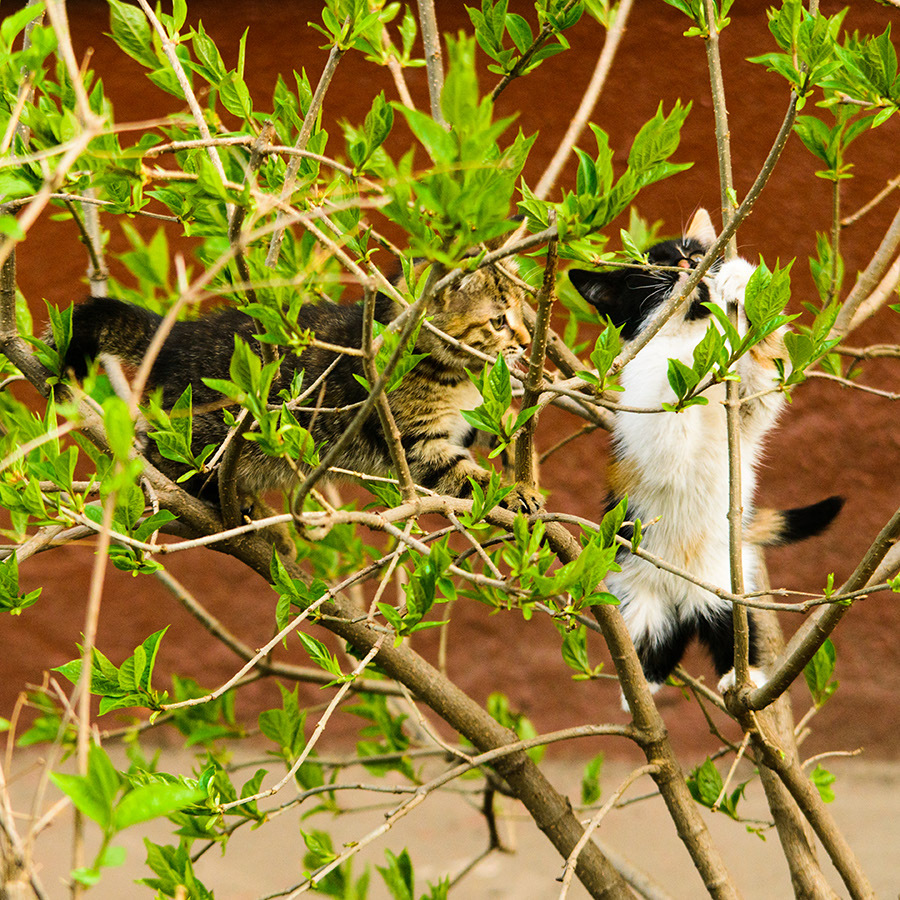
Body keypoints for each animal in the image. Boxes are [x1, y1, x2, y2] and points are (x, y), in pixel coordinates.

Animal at [65, 260, 540, 512]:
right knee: (165, 458)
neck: (453, 375)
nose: (526, 340)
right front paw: (512, 493)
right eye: (499, 321)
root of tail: (176, 334)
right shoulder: (416, 443)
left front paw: (524, 474)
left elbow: (501, 437)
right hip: (201, 437)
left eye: (524, 310)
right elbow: (464, 474)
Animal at [568, 211, 844, 696]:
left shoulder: (750, 406)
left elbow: (765, 373)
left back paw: (742, 675)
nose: (689, 268)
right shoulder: (646, 422)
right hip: (635, 595)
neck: (694, 332)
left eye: (695, 254)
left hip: (725, 589)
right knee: (645, 647)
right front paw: (676, 366)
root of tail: (683, 600)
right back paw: (641, 688)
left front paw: (740, 279)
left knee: (730, 630)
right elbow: (666, 406)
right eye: (654, 270)